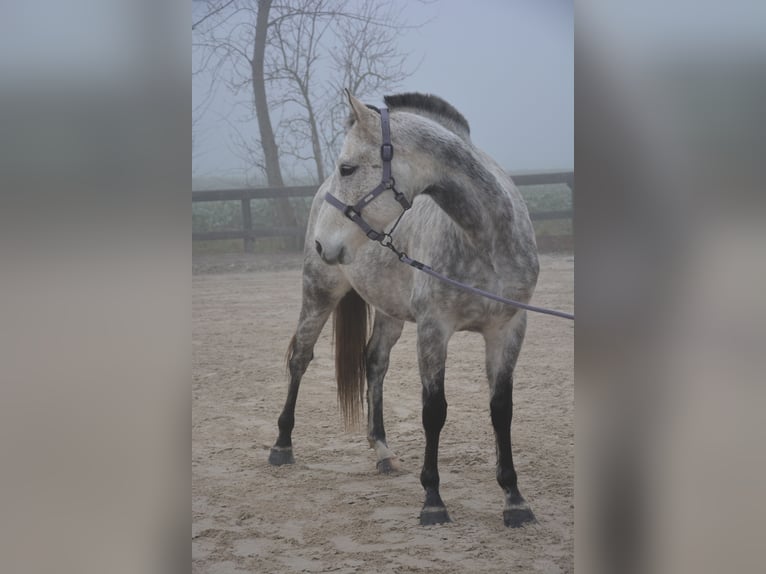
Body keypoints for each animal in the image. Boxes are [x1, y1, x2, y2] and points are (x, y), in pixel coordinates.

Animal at [268, 91, 540, 527]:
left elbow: (501, 410)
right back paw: (281, 445)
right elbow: (434, 410)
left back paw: (382, 450)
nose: (323, 243)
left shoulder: (509, 328)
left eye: (348, 167)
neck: (486, 240)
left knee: (374, 363)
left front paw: (514, 498)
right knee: (300, 359)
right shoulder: (433, 329)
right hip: (319, 293)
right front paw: (433, 499)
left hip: (390, 312)